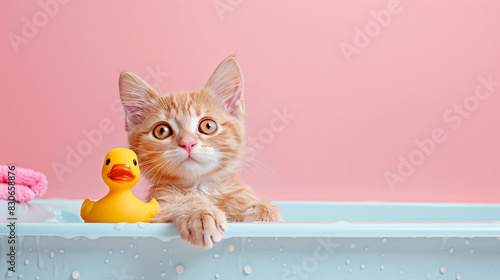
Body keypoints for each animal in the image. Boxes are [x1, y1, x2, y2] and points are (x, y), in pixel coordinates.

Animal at [117, 56, 282, 247]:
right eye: (161, 131)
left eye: (208, 126)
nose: (188, 143)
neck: (202, 187)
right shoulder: (154, 210)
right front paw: (198, 213)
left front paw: (261, 216)